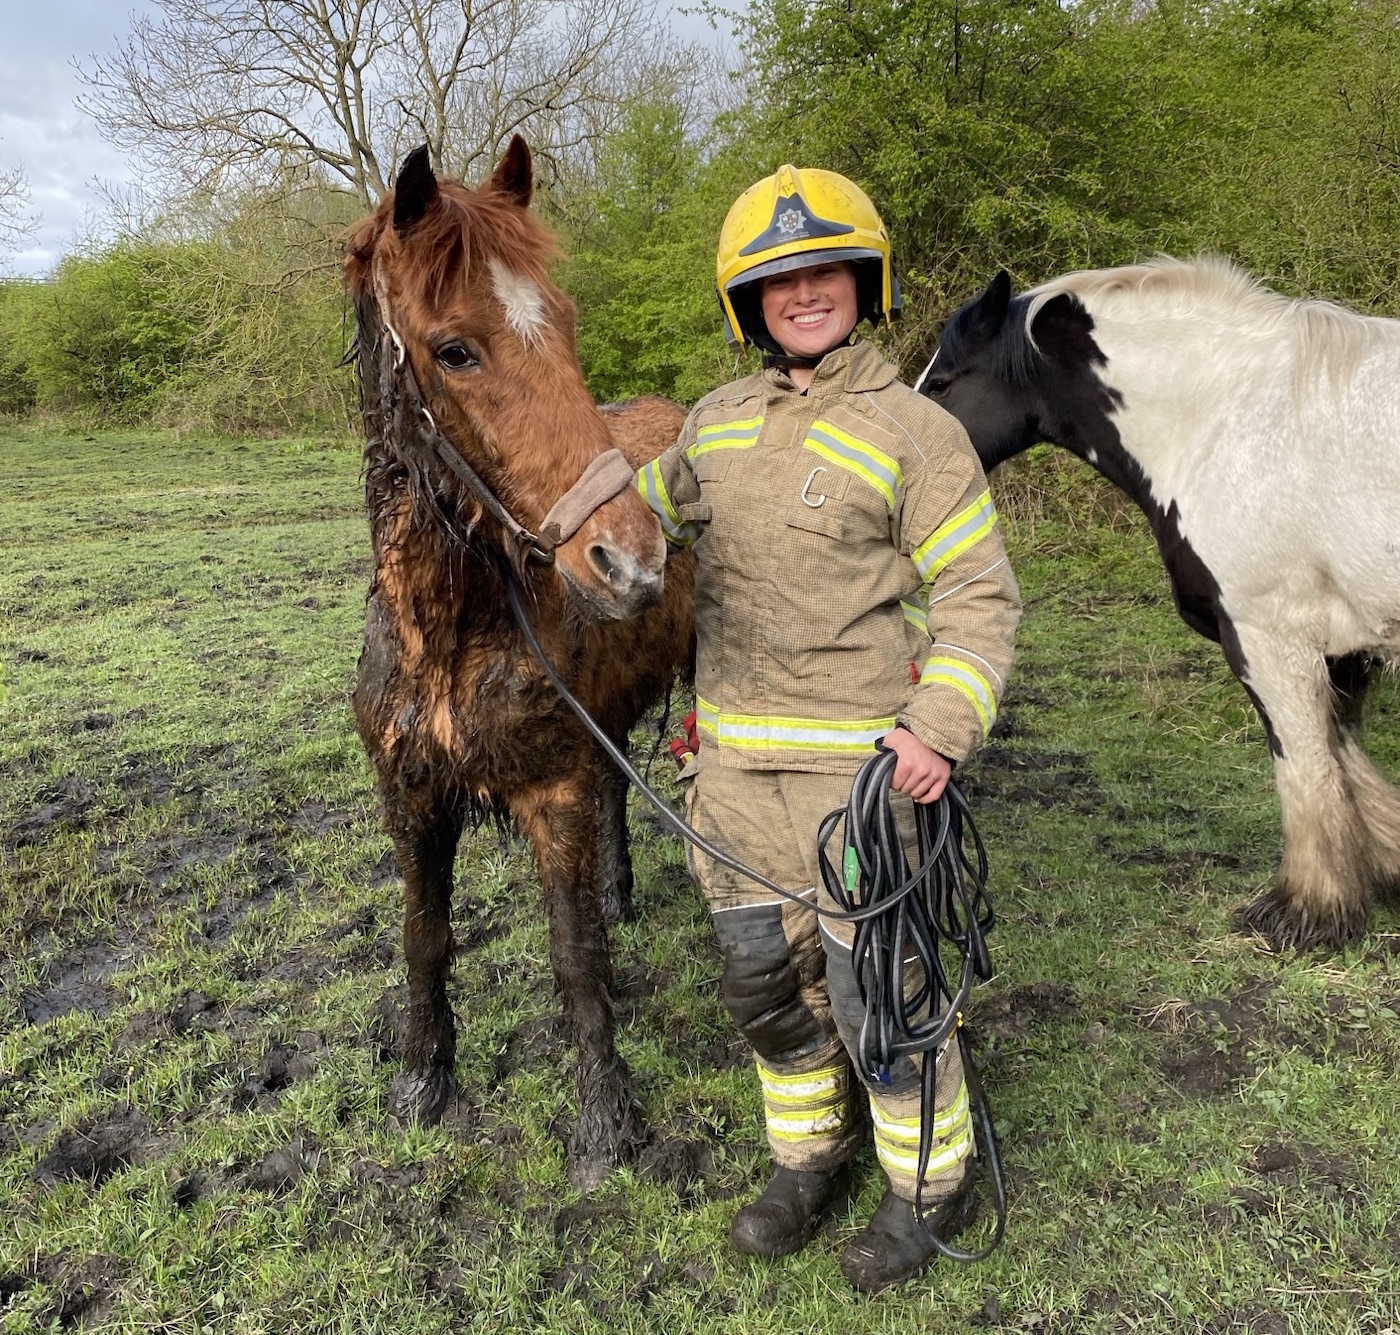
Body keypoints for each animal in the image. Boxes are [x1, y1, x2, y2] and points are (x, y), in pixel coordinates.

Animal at [345, 137, 694, 1188]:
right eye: (454, 348)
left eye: (566, 322)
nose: (633, 558)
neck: (449, 638)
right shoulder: (413, 798)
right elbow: (424, 939)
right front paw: (424, 1083)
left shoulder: (554, 791)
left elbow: (574, 956)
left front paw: (606, 1124)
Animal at [917, 256, 1400, 951]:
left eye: (943, 382)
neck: (1226, 417)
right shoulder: (1347, 648)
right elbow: (1343, 759)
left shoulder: (1269, 637)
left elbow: (1305, 760)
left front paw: (1305, 910)